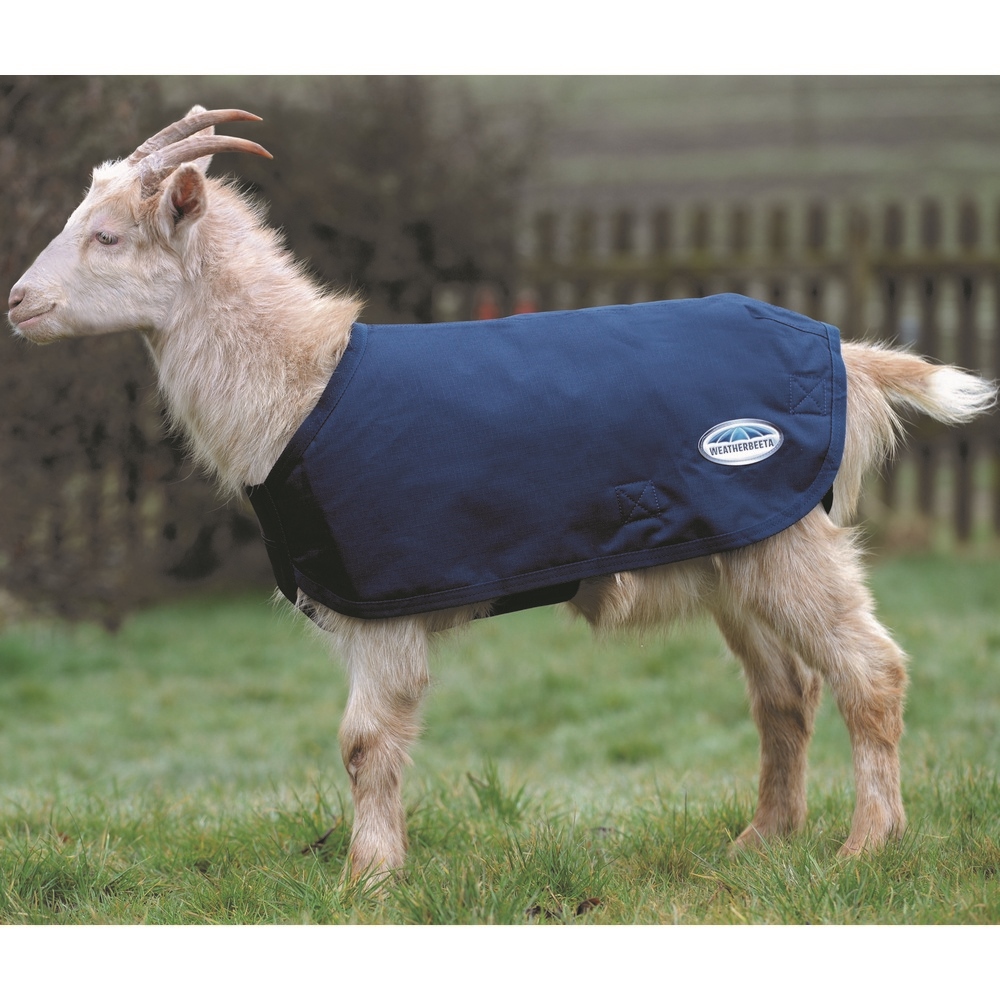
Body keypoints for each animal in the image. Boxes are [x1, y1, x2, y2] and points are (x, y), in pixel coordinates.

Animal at [8, 106, 996, 884]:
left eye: (108, 236)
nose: (18, 303)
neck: (301, 387)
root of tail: (846, 355)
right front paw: (378, 870)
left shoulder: (384, 605)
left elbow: (363, 743)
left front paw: (366, 881)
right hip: (737, 546)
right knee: (786, 693)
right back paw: (761, 843)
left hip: (788, 541)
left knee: (870, 671)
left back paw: (866, 845)